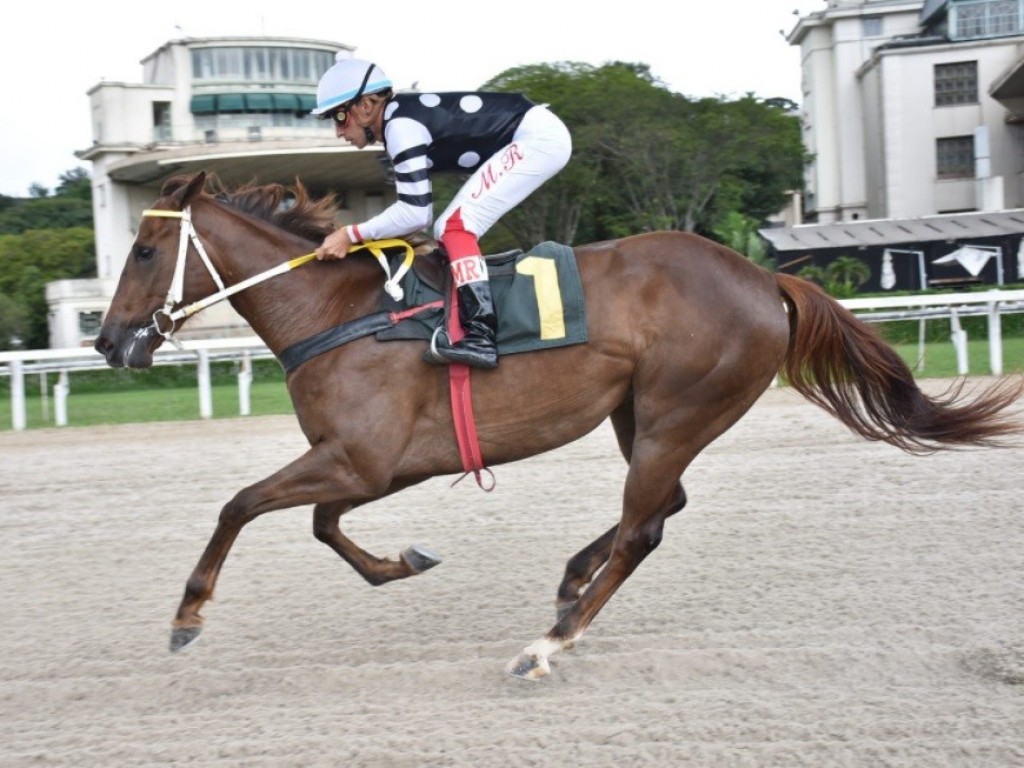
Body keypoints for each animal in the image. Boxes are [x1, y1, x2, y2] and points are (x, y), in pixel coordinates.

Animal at [94, 174, 1015, 679]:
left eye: (143, 251)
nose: (108, 342)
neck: (337, 312)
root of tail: (765, 277)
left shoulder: (362, 458)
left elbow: (241, 504)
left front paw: (187, 616)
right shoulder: (374, 465)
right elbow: (324, 528)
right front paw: (405, 560)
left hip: (679, 409)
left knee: (646, 527)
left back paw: (550, 642)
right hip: (641, 414)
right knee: (662, 508)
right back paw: (572, 579)